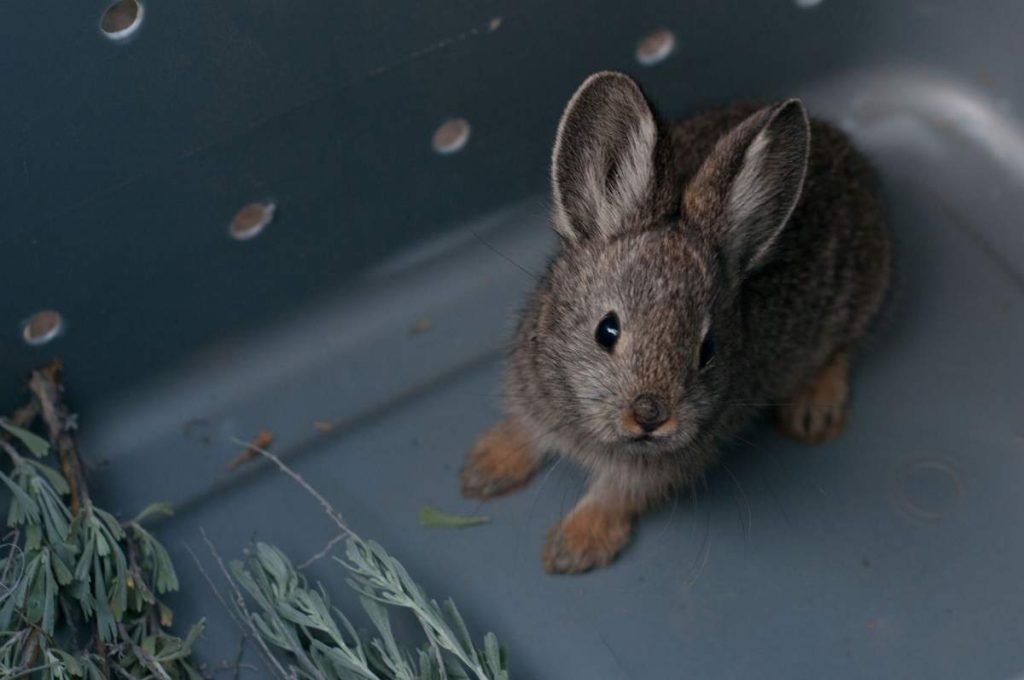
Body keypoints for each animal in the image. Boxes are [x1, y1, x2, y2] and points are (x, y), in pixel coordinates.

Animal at [460, 71, 892, 573]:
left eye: (708, 351)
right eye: (606, 330)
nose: (650, 416)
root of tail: (844, 147)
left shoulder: (654, 470)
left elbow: (615, 496)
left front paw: (573, 546)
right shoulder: (532, 393)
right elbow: (526, 432)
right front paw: (483, 469)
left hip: (855, 298)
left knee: (842, 349)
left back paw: (813, 415)